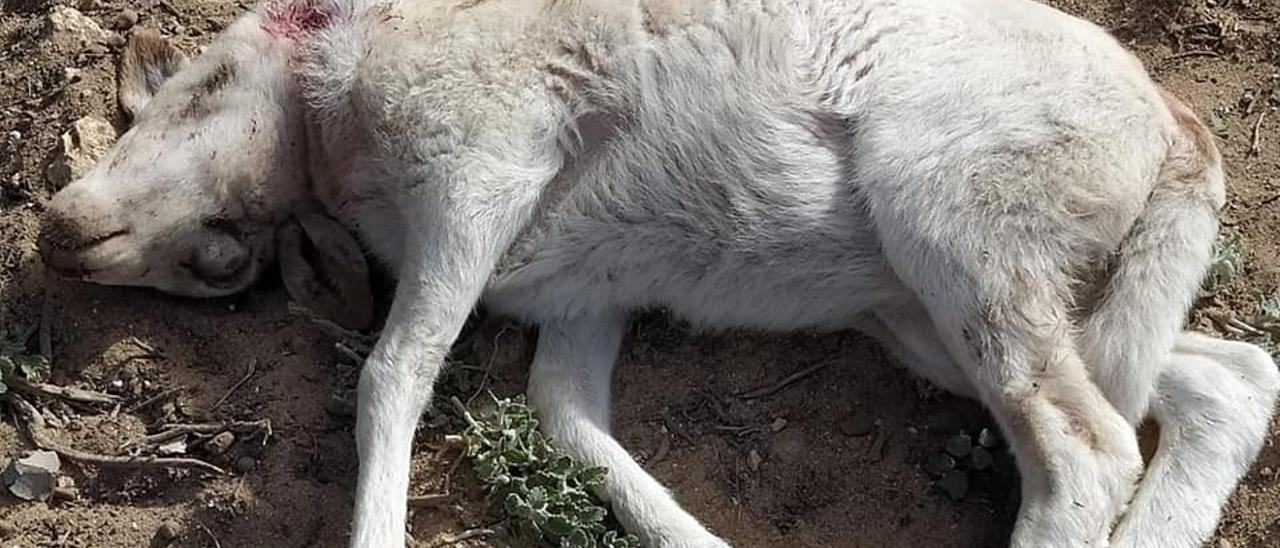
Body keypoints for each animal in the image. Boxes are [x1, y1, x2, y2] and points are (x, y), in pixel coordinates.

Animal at [40, 1, 1280, 548]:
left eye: (203, 88)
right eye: (220, 265)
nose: (56, 230)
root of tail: (1177, 127)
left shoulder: (480, 166)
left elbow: (391, 375)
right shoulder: (580, 295)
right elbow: (566, 418)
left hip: (964, 233)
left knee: (1085, 449)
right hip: (941, 309)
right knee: (1223, 379)